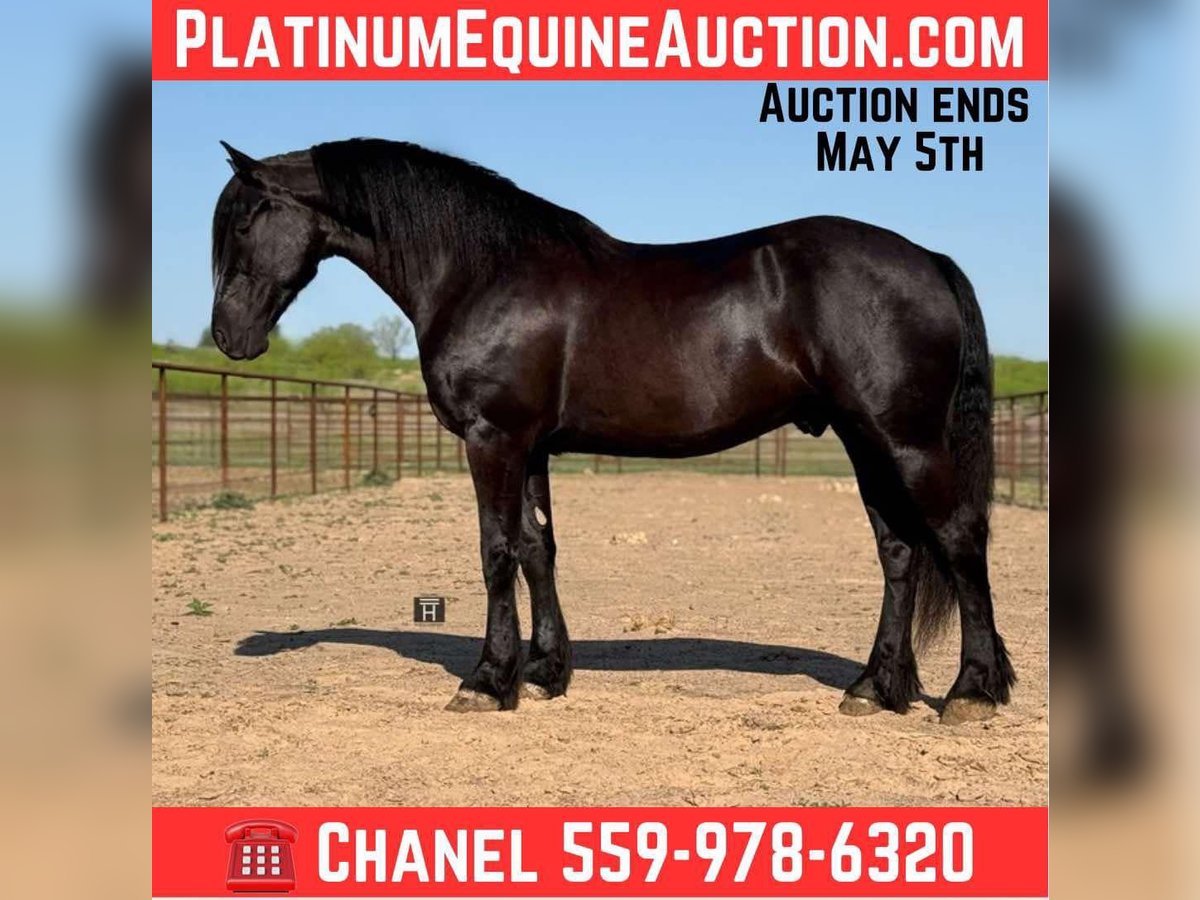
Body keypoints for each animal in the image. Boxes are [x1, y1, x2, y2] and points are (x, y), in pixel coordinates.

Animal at [210, 138, 1015, 724]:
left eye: (244, 221)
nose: (226, 336)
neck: (483, 272)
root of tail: (929, 261)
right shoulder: (530, 445)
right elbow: (538, 549)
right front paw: (543, 674)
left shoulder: (493, 438)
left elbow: (496, 551)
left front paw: (486, 681)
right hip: (865, 441)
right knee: (900, 553)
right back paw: (875, 688)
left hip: (905, 441)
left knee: (958, 540)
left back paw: (972, 692)